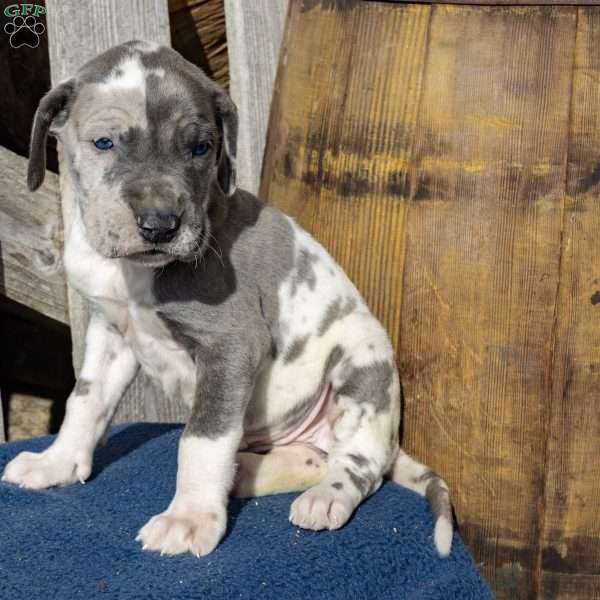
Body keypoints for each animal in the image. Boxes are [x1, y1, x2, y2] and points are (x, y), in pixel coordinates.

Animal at [0, 41, 452, 556]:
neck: (134, 273)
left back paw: (325, 497)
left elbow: (203, 438)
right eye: (104, 143)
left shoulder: (231, 344)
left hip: (361, 366)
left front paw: (190, 517)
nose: (160, 224)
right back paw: (248, 474)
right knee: (315, 456)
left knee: (359, 463)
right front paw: (54, 463)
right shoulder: (111, 330)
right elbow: (85, 401)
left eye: (200, 148)